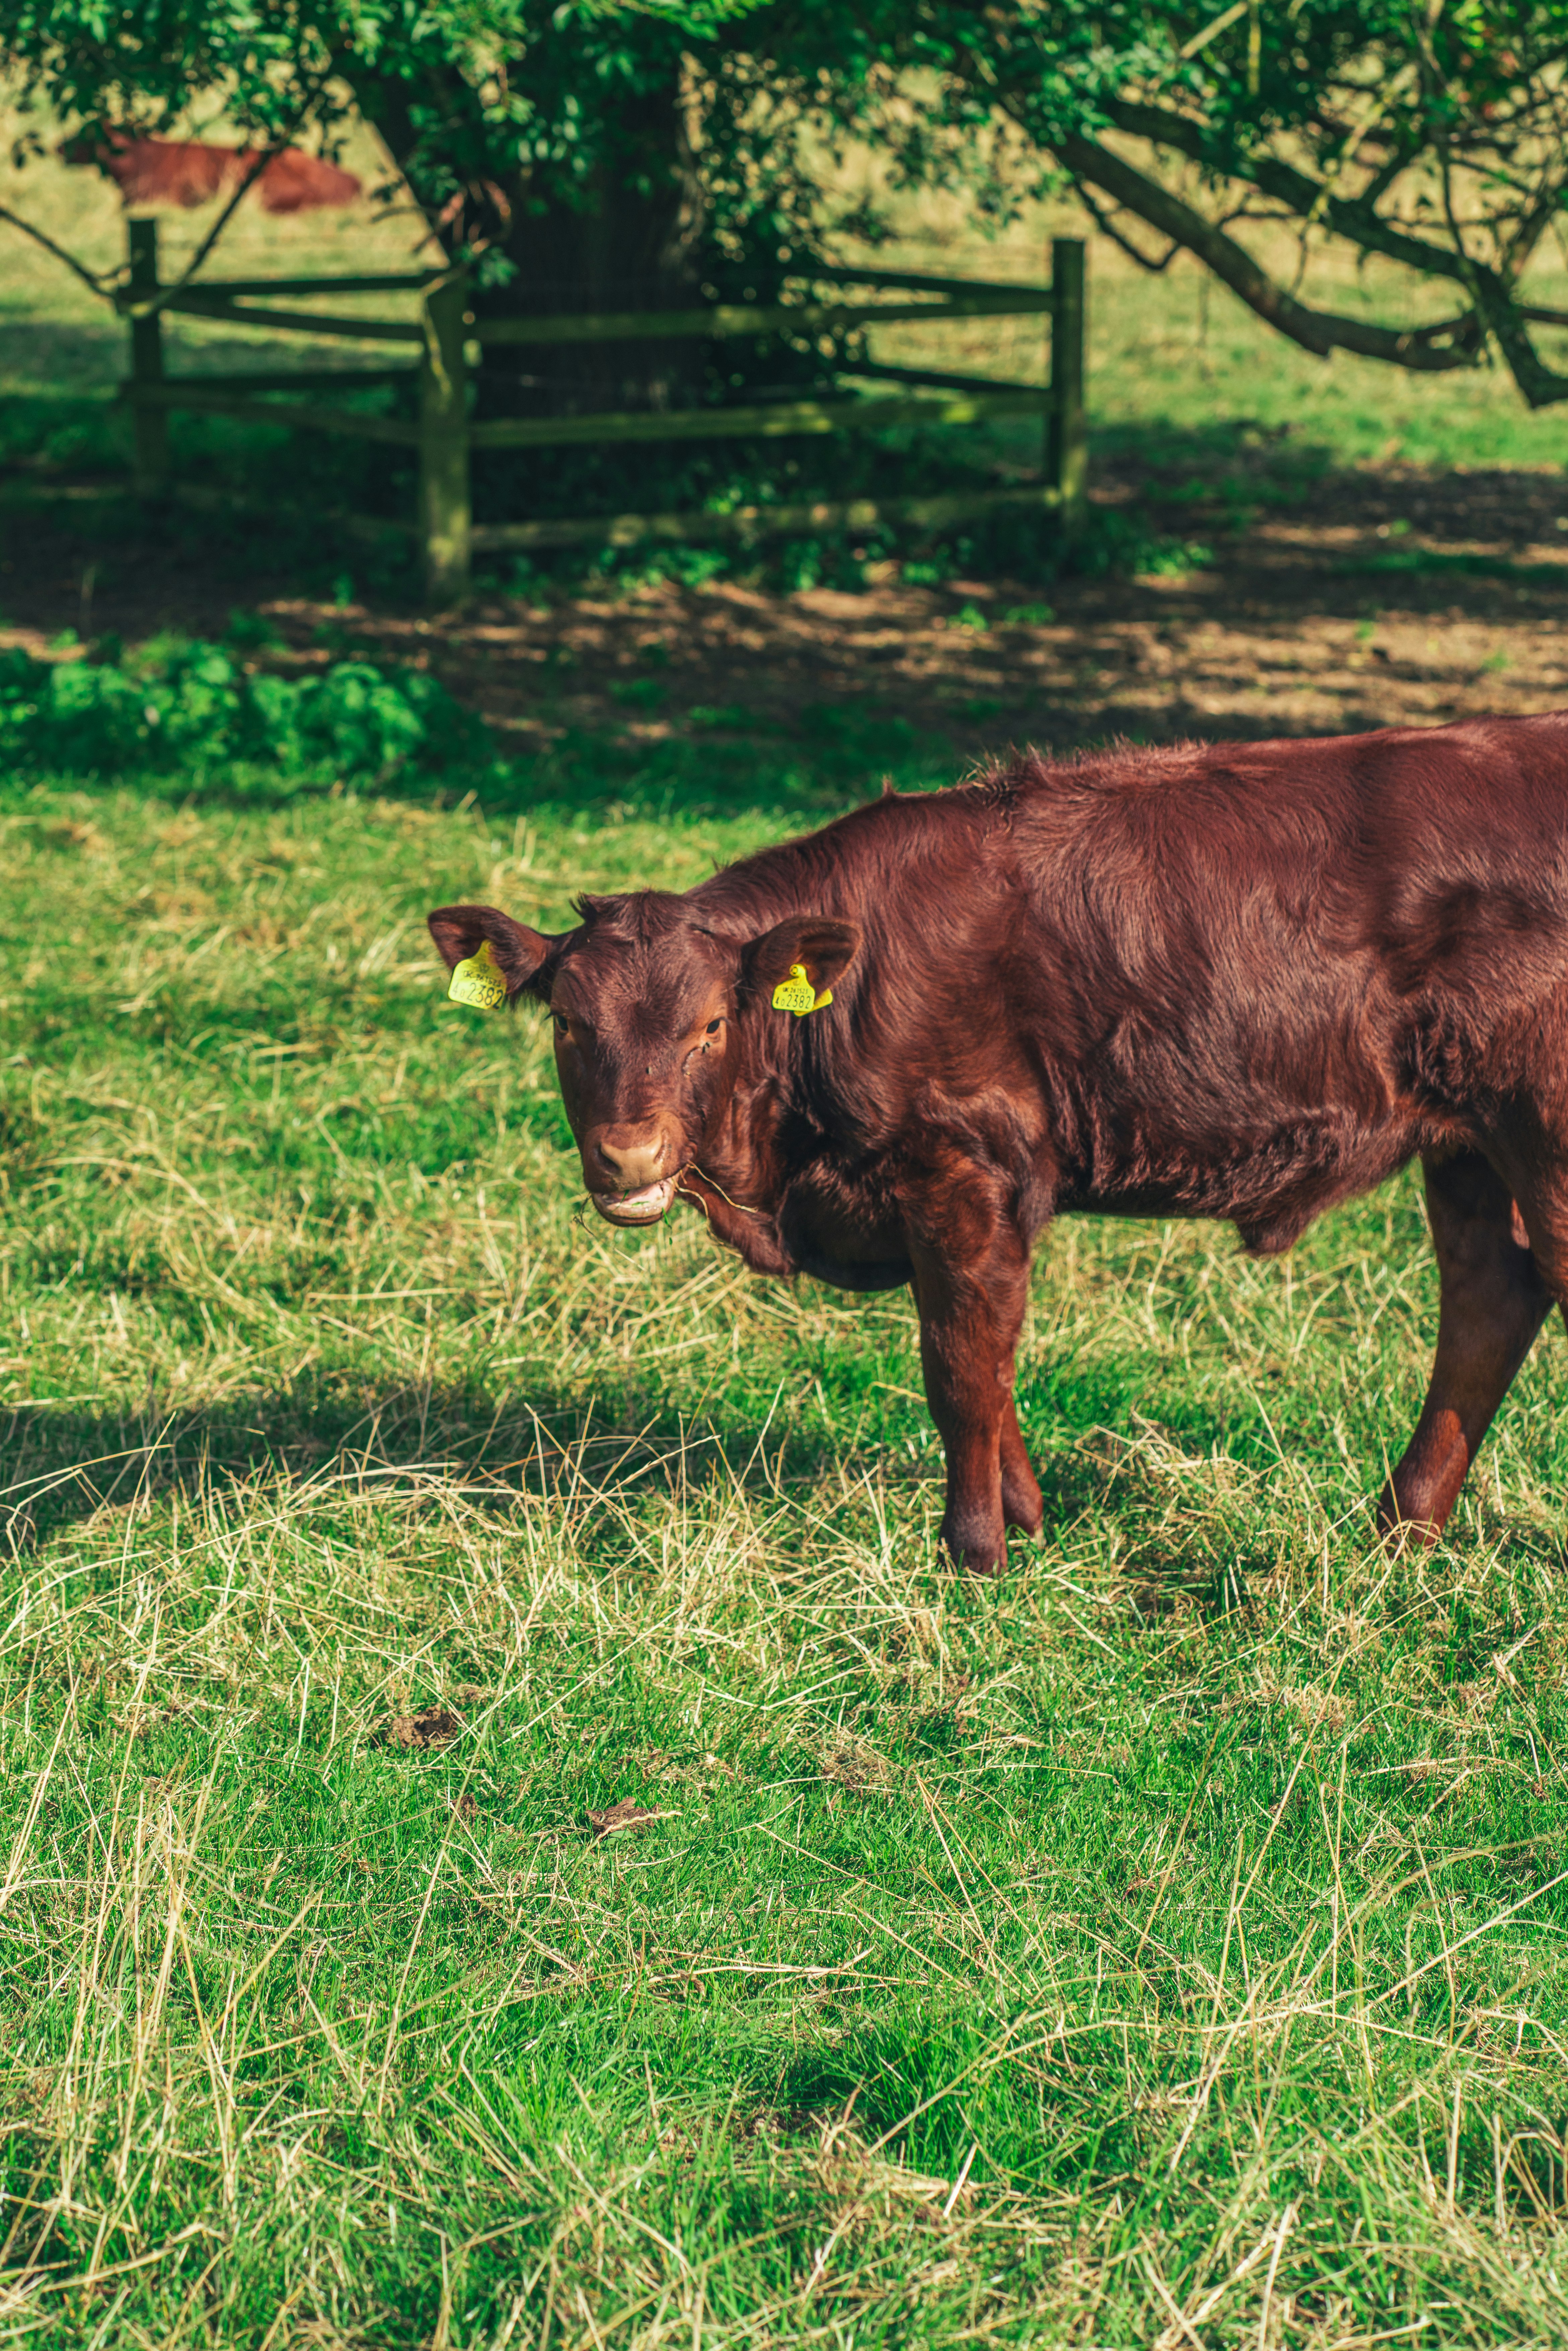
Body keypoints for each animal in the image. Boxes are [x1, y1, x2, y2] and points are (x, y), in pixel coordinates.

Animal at [430, 710, 1568, 1561]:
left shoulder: (962, 1167)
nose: (629, 1155)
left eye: (710, 1024)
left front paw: (974, 1550)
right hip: (1469, 1143)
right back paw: (1400, 1529)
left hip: (1540, 1123)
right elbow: (992, 1356)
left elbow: (961, 1366)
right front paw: (1023, 1518)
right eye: (567, 1022)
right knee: (1488, 1296)